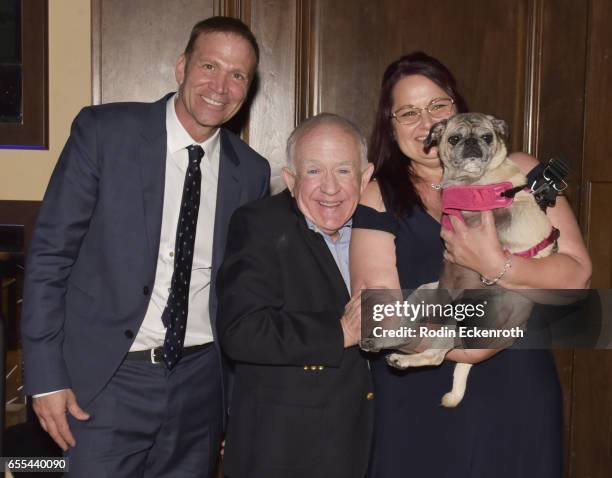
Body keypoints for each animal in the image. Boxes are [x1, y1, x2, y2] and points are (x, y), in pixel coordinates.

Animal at [384, 113, 556, 408]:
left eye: (487, 137)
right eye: (454, 138)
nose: (473, 143)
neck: (470, 181)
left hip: (462, 318)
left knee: (436, 355)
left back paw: (404, 359)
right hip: (428, 292)